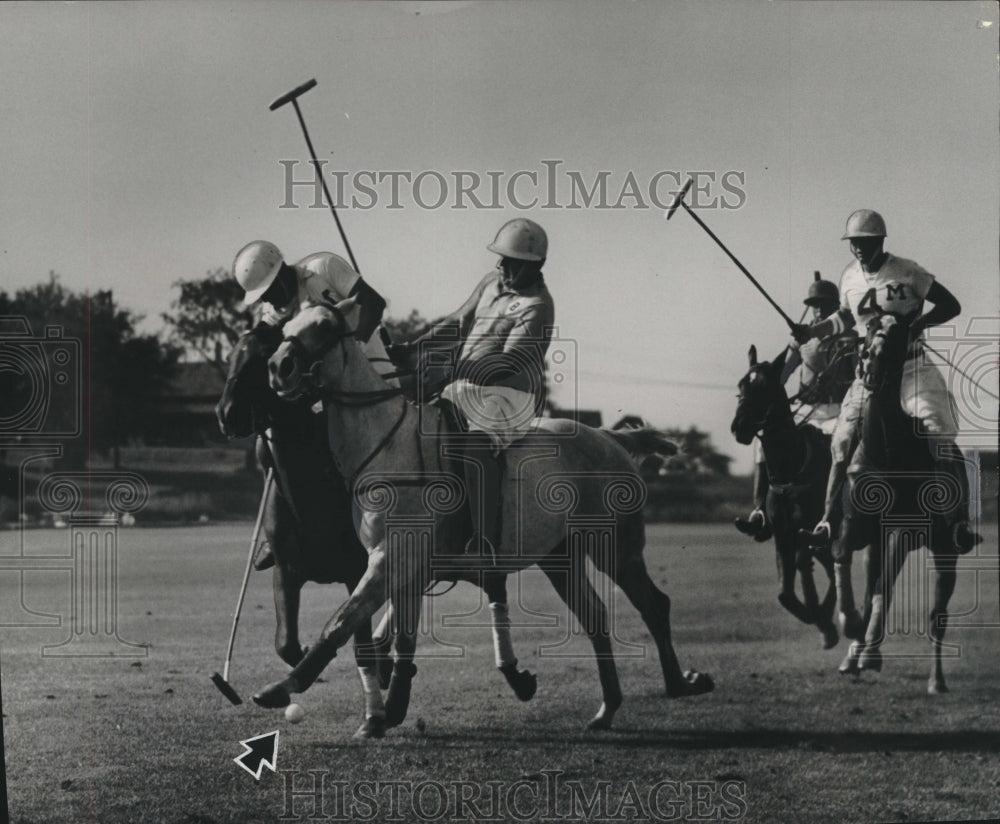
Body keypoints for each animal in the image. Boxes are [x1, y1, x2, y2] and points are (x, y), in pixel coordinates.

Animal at [214, 326, 536, 736]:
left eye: (260, 358)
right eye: (233, 356)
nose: (227, 415)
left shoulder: (358, 570)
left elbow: (357, 643)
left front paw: (373, 713)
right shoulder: (287, 570)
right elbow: (286, 643)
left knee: (489, 582)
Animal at [254, 300, 716, 728]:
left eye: (324, 326)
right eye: (287, 324)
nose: (278, 367)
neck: (387, 447)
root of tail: (608, 436)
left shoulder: (390, 559)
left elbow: (340, 622)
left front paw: (281, 688)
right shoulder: (403, 566)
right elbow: (397, 636)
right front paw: (389, 709)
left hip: (614, 545)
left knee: (653, 604)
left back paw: (678, 684)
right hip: (560, 557)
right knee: (596, 618)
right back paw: (608, 709)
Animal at [732, 344, 840, 648]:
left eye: (766, 386)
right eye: (742, 385)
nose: (738, 427)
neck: (792, 466)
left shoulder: (809, 530)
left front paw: (822, 618)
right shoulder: (783, 533)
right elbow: (785, 593)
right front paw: (818, 618)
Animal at [836, 316, 960, 696]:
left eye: (896, 341)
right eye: (866, 341)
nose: (871, 374)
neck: (887, 454)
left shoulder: (905, 529)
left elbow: (884, 586)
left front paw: (869, 653)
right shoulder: (856, 524)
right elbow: (842, 555)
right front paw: (850, 623)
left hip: (945, 550)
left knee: (936, 617)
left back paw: (937, 680)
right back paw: (854, 655)